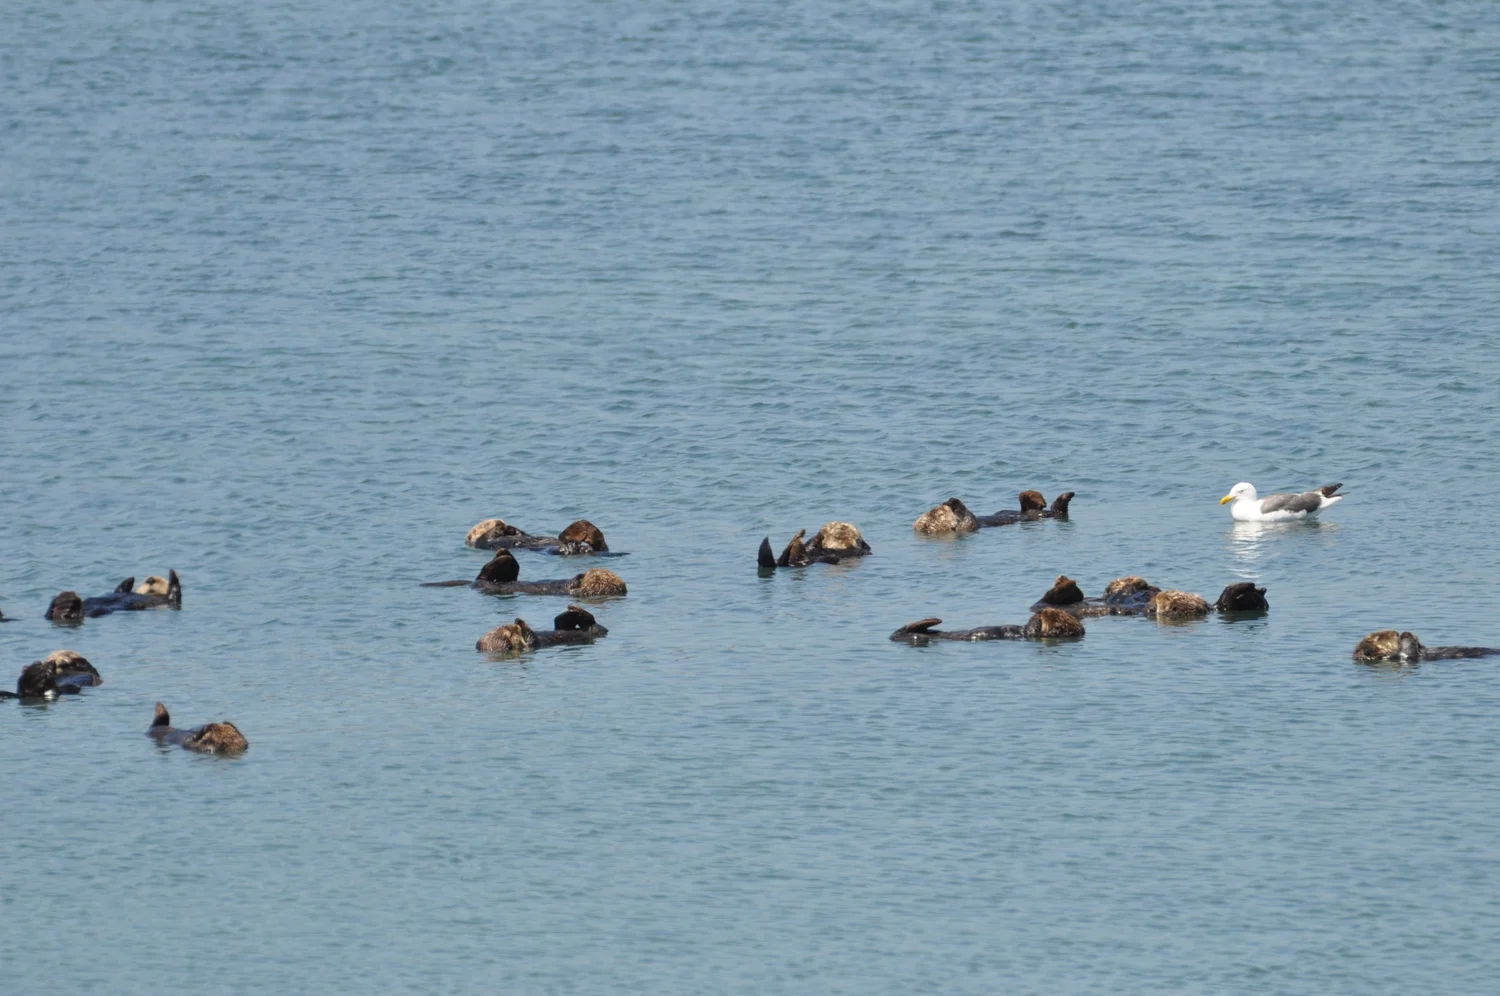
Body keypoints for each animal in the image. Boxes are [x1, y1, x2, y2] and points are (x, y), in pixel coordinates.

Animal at [46, 570, 182, 621]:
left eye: (163, 581)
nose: (151, 579)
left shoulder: (171, 600)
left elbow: (175, 594)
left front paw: (173, 576)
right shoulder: (120, 592)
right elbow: (119, 590)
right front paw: (129, 580)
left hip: (97, 612)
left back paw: (66, 603)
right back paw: (64, 600)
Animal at [466, 518, 612, 555]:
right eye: (486, 523)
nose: (501, 522)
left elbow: (521, 533)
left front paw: (511, 528)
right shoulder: (482, 541)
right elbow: (489, 535)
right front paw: (500, 526)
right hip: (557, 550)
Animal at [476, 605, 610, 654]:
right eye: (508, 631)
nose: (514, 625)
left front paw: (517, 620)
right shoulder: (529, 645)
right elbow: (532, 639)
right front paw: (521, 622)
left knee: (560, 622)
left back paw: (573, 610)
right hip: (594, 629)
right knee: (591, 624)